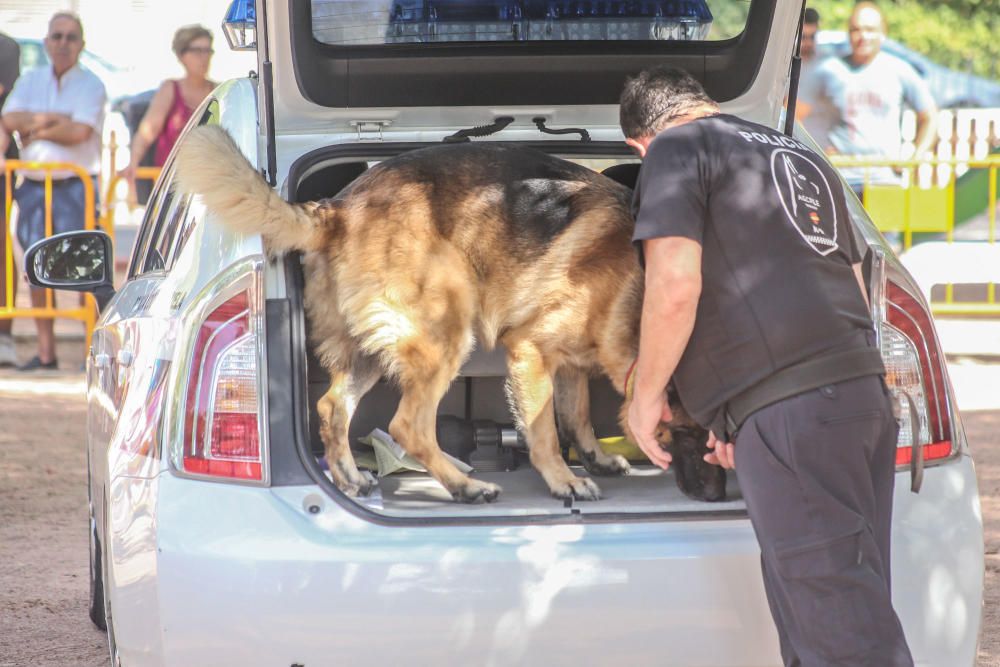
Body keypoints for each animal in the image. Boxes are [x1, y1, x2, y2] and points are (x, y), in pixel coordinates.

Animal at [174, 125, 728, 504]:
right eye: (687, 435)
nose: (719, 495)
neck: (640, 291)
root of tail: (341, 208)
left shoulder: (569, 362)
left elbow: (578, 416)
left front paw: (595, 458)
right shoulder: (531, 351)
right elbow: (545, 430)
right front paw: (564, 479)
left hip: (373, 349)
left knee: (332, 408)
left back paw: (350, 477)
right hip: (446, 331)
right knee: (408, 427)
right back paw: (464, 486)